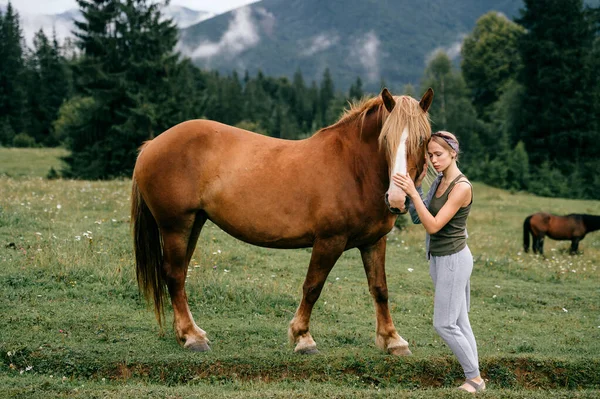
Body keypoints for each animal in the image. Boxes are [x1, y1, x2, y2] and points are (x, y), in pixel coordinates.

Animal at [131, 88, 434, 356]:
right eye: (386, 139)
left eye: (423, 139)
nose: (397, 199)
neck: (353, 168)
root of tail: (151, 145)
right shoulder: (329, 241)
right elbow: (312, 287)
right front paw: (303, 338)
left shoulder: (374, 242)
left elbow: (380, 289)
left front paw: (393, 340)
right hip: (175, 226)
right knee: (173, 275)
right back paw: (192, 337)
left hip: (193, 224)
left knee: (179, 274)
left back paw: (187, 333)